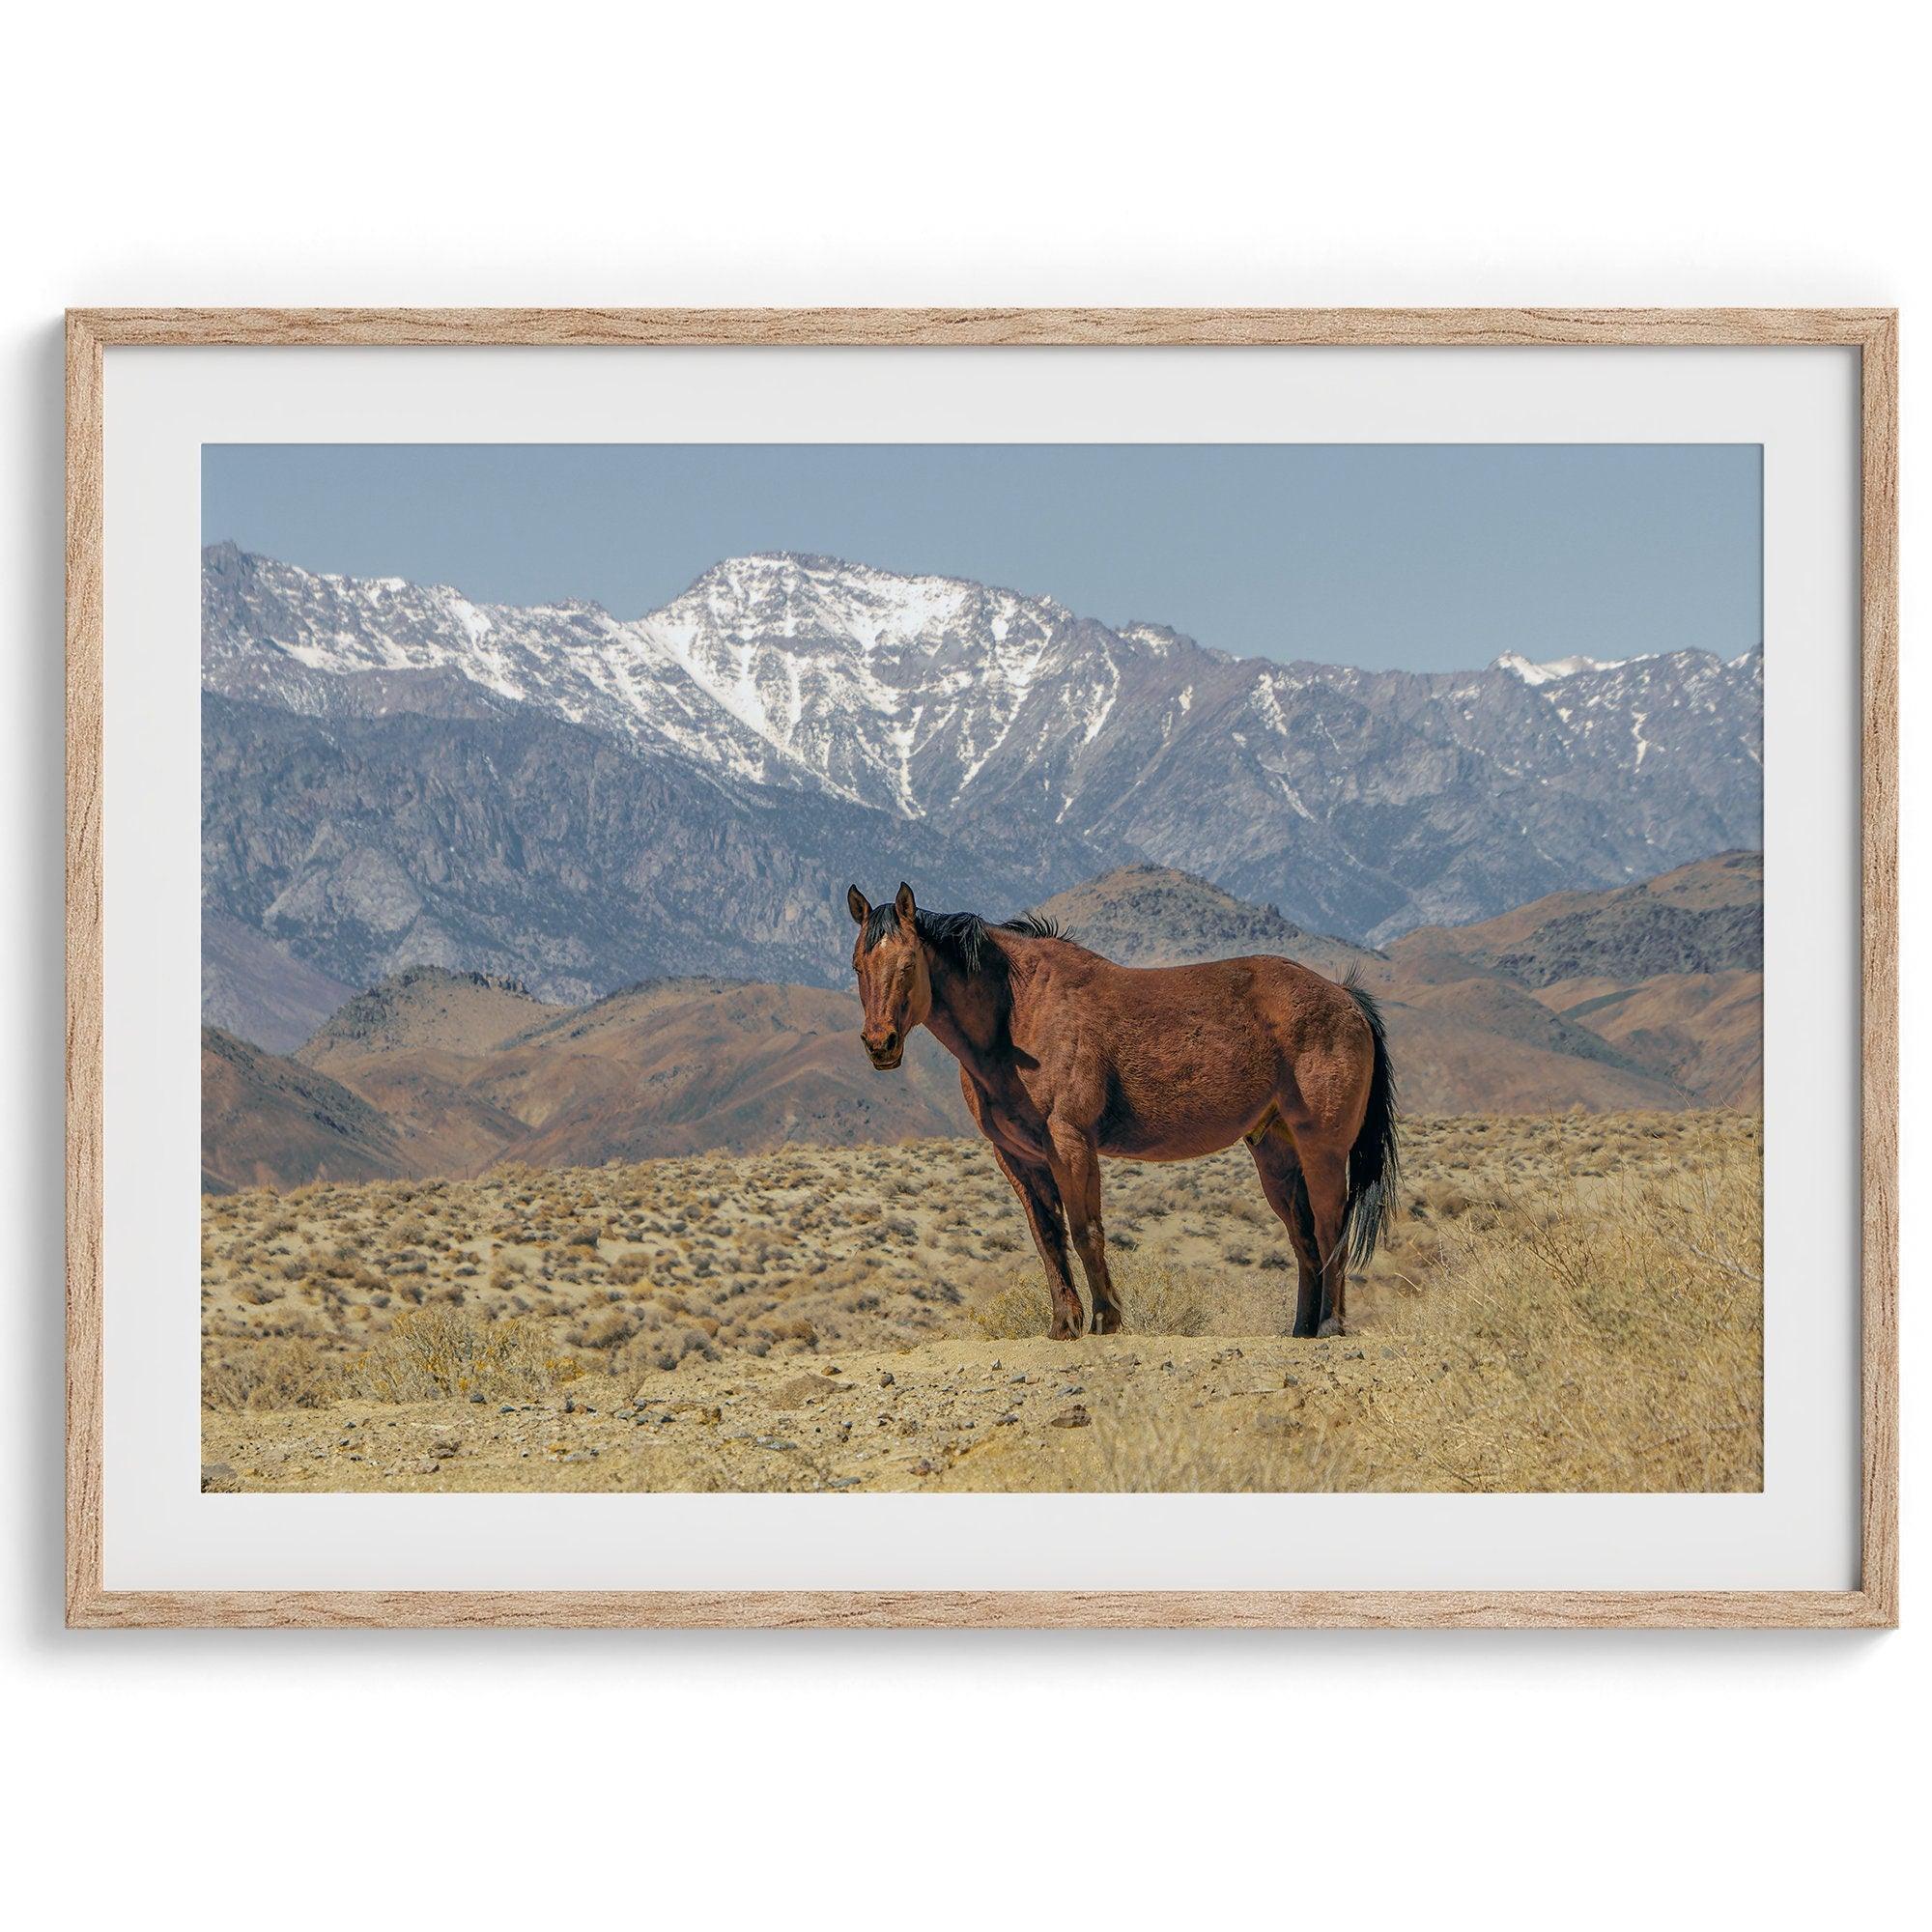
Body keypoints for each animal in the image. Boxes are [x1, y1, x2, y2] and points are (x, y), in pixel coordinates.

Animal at [838, 885, 1399, 1337]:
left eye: (908, 964)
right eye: (858, 967)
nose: (880, 1045)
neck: (1020, 1012)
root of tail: (1345, 998)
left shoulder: (1070, 1143)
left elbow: (1087, 1231)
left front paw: (1106, 1320)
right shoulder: (1017, 1157)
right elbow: (1047, 1238)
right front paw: (1063, 1325)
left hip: (1322, 1149)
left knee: (1329, 1228)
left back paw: (1330, 1327)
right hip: (1276, 1151)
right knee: (1303, 1237)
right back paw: (1301, 1329)